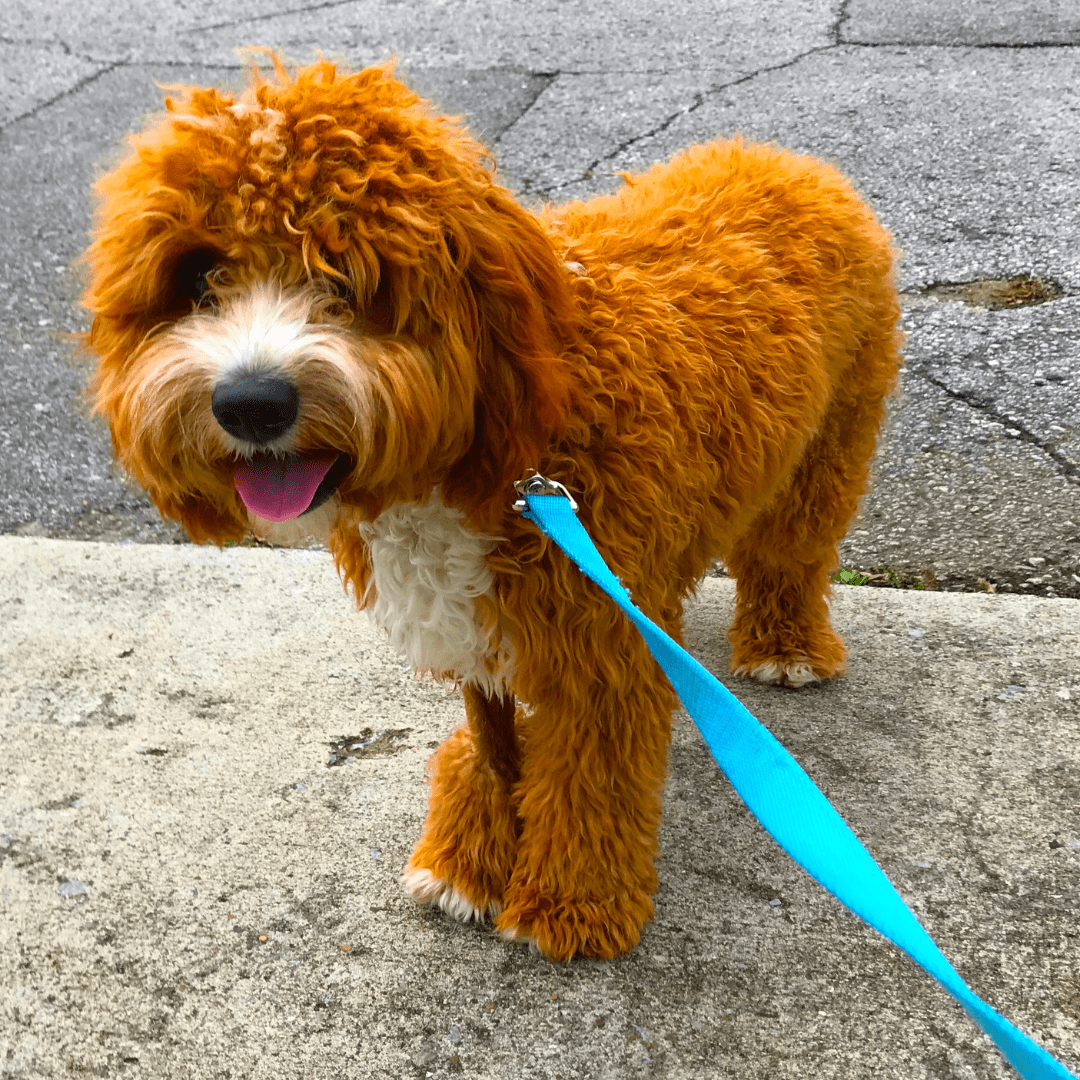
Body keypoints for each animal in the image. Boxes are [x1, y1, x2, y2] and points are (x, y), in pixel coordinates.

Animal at [79, 54, 898, 963]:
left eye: (348, 271)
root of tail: (782, 159)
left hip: (830, 444)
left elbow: (589, 773)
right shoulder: (472, 625)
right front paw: (472, 860)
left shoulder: (598, 646)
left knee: (792, 550)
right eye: (197, 275)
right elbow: (494, 739)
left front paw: (572, 903)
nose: (251, 403)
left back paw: (787, 647)